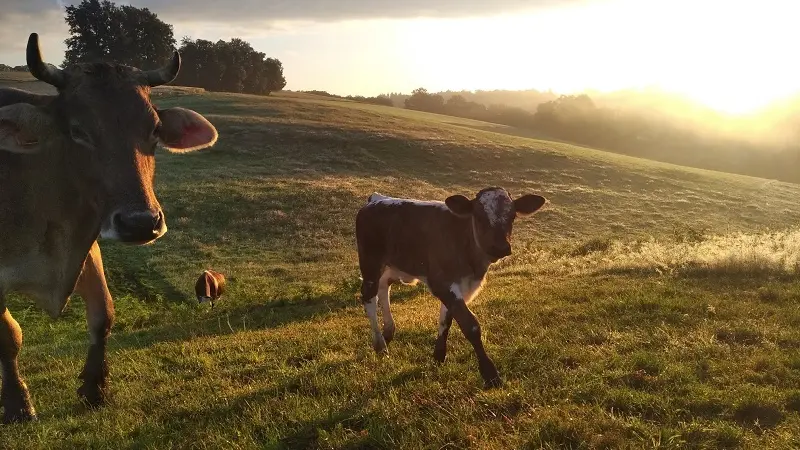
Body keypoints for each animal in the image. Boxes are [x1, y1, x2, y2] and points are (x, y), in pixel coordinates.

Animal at [0, 33, 219, 424]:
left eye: (154, 130)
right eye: (77, 131)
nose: (140, 222)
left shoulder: (88, 247)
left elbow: (103, 314)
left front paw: (95, 387)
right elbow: (9, 337)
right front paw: (17, 403)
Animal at [354, 185, 548, 386]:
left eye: (513, 216)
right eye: (479, 216)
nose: (501, 247)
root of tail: (377, 199)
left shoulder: (459, 286)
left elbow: (446, 319)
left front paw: (439, 355)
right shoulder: (441, 282)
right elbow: (470, 325)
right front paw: (490, 373)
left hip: (392, 265)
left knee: (384, 288)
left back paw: (388, 332)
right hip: (370, 262)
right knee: (369, 296)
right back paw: (380, 345)